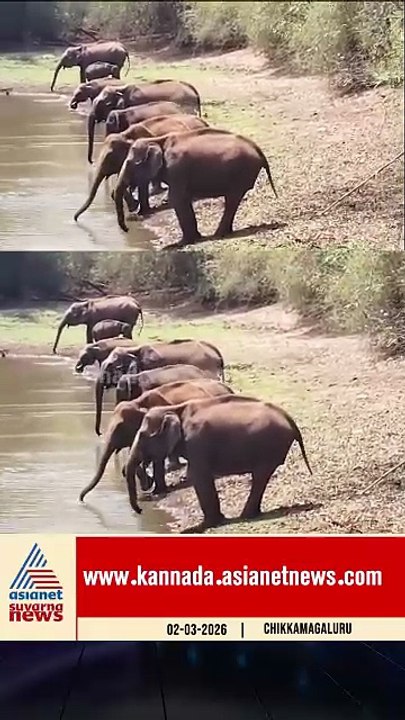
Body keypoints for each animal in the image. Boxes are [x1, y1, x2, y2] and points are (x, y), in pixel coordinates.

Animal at [74, 114, 208, 220]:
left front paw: (139, 210)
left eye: (110, 157)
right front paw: (134, 206)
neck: (125, 135)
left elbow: (140, 182)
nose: (75, 219)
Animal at [79, 378, 234, 507]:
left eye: (120, 428)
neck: (137, 402)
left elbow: (156, 457)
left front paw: (153, 488)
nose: (81, 500)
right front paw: (149, 485)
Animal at [114, 128, 278, 241]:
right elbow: (184, 198)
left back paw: (218, 234)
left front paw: (185, 242)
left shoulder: (177, 168)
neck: (157, 140)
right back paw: (224, 233)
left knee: (232, 199)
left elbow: (177, 198)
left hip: (241, 171)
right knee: (232, 200)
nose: (127, 229)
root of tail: (258, 149)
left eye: (130, 164)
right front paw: (196, 238)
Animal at [125, 394, 313, 530]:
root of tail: (289, 418)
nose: (140, 510)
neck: (173, 409)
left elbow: (198, 475)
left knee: (260, 475)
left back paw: (245, 516)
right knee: (261, 478)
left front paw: (206, 525)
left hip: (270, 446)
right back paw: (249, 515)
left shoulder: (196, 442)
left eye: (142, 436)